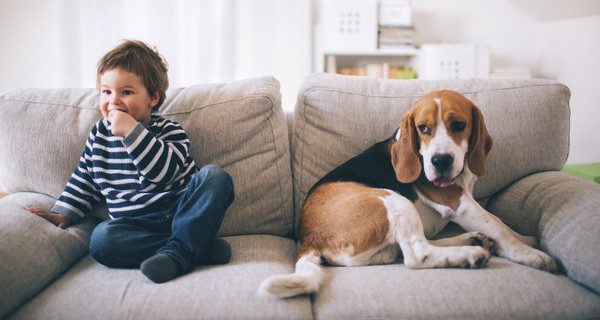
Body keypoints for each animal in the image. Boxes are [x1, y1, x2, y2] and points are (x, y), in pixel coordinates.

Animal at [260, 89, 560, 298]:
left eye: (459, 125)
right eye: (422, 128)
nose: (440, 161)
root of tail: (309, 237)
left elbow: (501, 223)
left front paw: (523, 238)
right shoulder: (458, 203)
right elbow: (498, 225)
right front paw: (529, 254)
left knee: (412, 247)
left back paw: (471, 240)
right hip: (394, 200)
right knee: (417, 255)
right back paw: (470, 253)